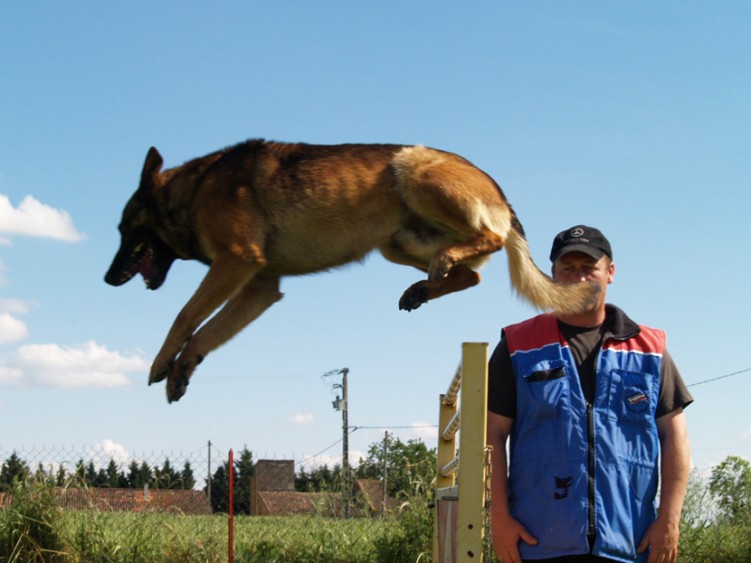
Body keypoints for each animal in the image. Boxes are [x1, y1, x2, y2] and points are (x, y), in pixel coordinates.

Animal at [106, 143, 596, 404]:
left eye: (124, 229)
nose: (108, 279)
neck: (192, 191)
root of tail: (501, 195)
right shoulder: (258, 289)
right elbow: (207, 332)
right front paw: (181, 370)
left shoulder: (236, 263)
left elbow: (186, 316)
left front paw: (162, 361)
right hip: (394, 243)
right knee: (469, 276)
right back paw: (424, 287)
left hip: (411, 172)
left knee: (486, 238)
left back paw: (445, 263)